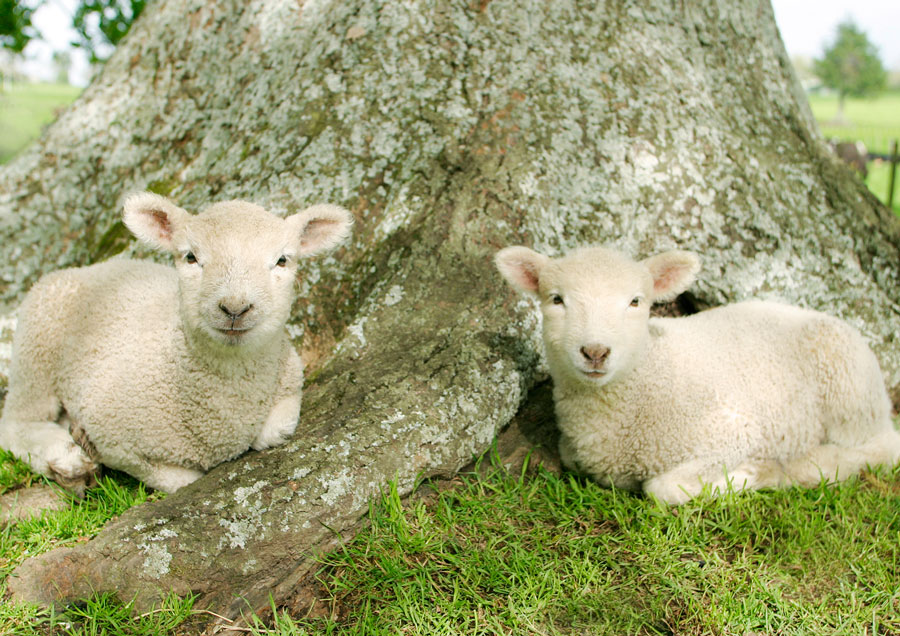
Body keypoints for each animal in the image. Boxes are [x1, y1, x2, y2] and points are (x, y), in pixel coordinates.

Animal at [0, 191, 352, 494]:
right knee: (16, 421)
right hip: (36, 348)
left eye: (282, 260)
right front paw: (83, 448)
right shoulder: (115, 439)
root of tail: (90, 269)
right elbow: (179, 479)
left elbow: (276, 430)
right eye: (191, 257)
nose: (234, 308)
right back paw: (68, 459)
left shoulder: (290, 377)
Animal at [496, 246, 900, 504]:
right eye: (556, 299)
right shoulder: (576, 452)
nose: (595, 352)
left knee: (880, 450)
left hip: (852, 397)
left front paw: (752, 475)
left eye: (635, 301)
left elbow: (662, 489)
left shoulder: (735, 432)